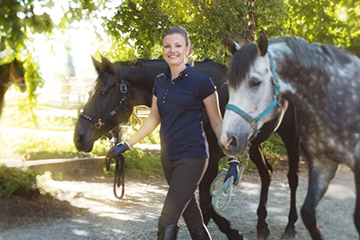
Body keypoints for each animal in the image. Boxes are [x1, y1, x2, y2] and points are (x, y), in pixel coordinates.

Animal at [74, 54, 300, 240]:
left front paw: (230, 231)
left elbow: (205, 206)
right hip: (253, 145)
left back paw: (290, 227)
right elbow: (198, 203)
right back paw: (262, 225)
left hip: (291, 135)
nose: (79, 137)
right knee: (266, 173)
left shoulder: (211, 157)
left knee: (293, 178)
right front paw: (232, 231)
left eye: (103, 92)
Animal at [219, 30, 360, 240]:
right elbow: (308, 213)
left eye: (255, 82)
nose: (227, 140)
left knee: (292, 177)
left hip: (290, 140)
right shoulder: (323, 164)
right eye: (229, 85)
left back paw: (289, 227)